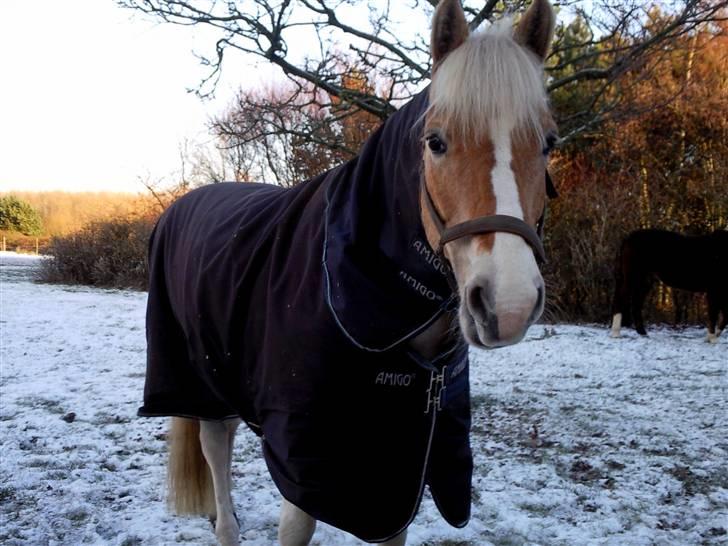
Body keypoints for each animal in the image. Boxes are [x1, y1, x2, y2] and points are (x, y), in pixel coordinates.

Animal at [138, 2, 556, 540]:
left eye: (548, 142)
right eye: (435, 142)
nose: (509, 303)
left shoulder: (402, 461)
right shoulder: (305, 459)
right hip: (200, 385)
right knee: (217, 456)